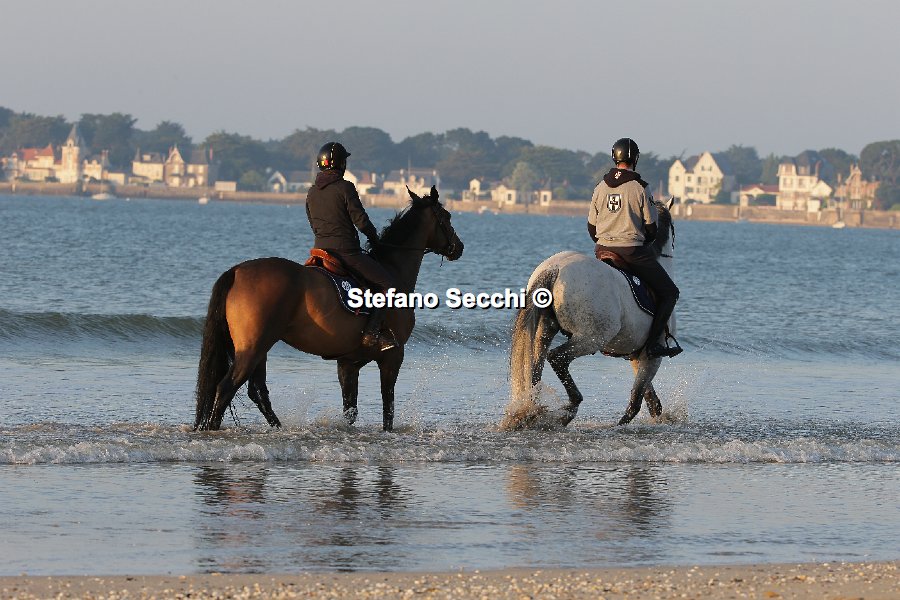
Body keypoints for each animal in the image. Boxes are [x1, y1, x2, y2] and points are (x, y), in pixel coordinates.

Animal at [194, 186, 463, 432]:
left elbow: (350, 411)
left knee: (257, 391)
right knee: (227, 388)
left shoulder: (348, 363)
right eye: (447, 216)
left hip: (259, 349)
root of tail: (237, 271)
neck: (392, 269)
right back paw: (214, 427)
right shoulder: (393, 356)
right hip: (252, 349)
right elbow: (388, 408)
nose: (458, 247)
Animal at [503, 198, 677, 429]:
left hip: (545, 331)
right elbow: (638, 401)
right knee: (557, 358)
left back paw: (532, 409)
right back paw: (569, 408)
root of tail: (555, 268)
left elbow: (649, 399)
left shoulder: (637, 355)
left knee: (535, 368)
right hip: (591, 338)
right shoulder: (652, 356)